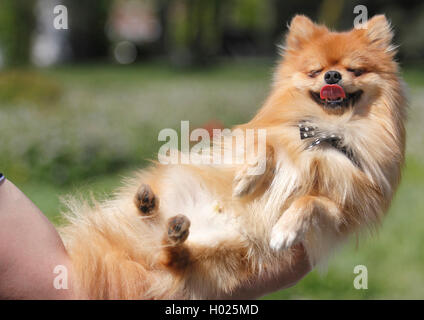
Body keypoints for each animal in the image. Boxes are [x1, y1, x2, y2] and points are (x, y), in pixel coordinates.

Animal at [60, 15, 408, 300]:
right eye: (315, 72)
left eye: (355, 70)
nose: (333, 76)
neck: (325, 134)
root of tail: (137, 249)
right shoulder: (253, 140)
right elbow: (264, 147)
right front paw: (246, 181)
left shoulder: (343, 212)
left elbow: (311, 201)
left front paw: (284, 230)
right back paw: (147, 204)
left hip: (224, 254)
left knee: (172, 258)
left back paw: (173, 232)